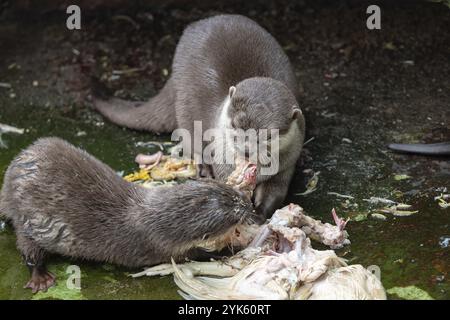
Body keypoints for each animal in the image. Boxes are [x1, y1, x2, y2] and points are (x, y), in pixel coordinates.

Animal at [0, 137, 255, 292]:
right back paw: (40, 278)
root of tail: (10, 179)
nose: (248, 204)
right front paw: (231, 249)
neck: (155, 219)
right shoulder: (160, 246)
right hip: (29, 220)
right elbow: (198, 255)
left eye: (230, 191)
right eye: (233, 205)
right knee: (29, 250)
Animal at [93, 14, 308, 218]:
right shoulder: (222, 159)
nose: (246, 151)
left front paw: (260, 212)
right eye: (235, 125)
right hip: (185, 106)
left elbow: (275, 193)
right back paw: (204, 168)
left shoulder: (286, 166)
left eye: (269, 135)